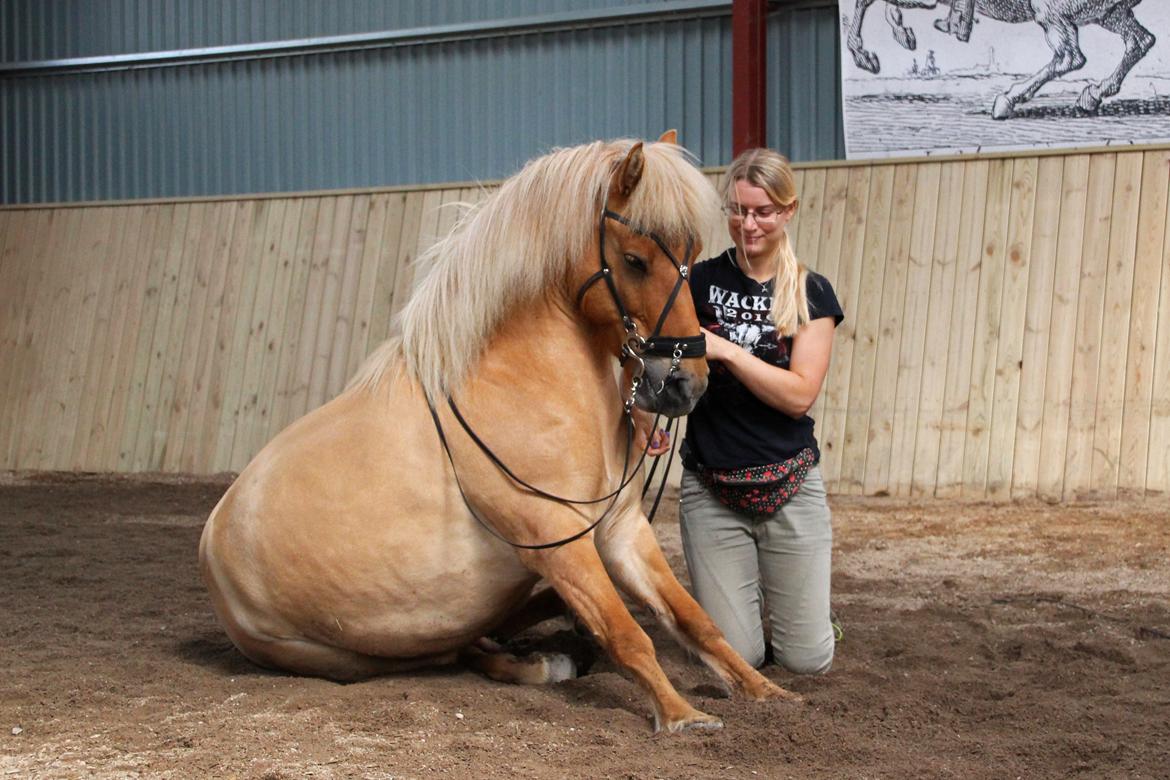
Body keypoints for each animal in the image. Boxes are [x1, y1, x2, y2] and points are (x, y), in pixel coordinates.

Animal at [198, 132, 795, 734]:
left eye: (692, 257)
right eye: (634, 260)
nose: (684, 386)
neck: (525, 384)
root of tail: (212, 535)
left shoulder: (622, 530)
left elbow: (696, 619)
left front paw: (765, 691)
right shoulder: (560, 541)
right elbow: (627, 635)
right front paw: (681, 715)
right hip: (352, 653)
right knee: (456, 651)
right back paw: (546, 660)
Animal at [847, 0, 1155, 119]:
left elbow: (868, 4)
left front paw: (866, 56)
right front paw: (902, 36)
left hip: (1051, 12)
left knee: (1070, 57)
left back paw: (1008, 100)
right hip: (1109, 13)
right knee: (1140, 42)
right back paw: (1093, 95)